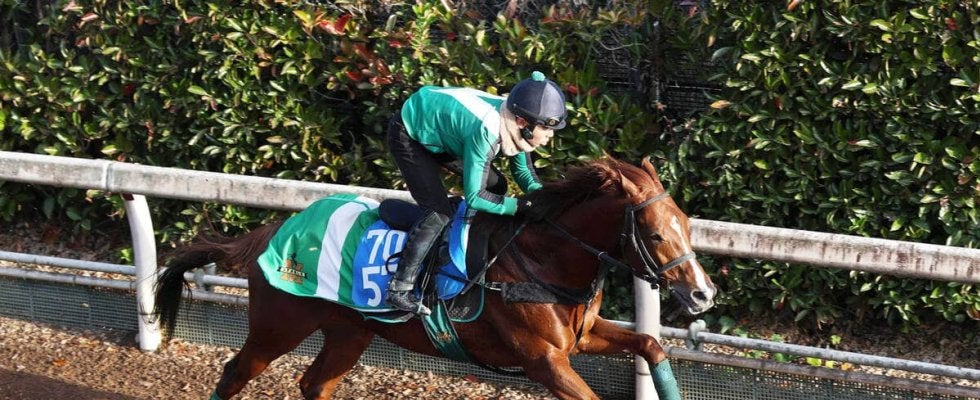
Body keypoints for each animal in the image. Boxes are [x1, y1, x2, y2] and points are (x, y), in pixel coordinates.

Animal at [153, 156, 717, 400]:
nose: (703, 293)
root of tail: (274, 228)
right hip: (279, 324)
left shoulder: (580, 337)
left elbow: (651, 344)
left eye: (688, 226)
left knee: (315, 383)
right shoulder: (543, 361)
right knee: (235, 373)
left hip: (350, 331)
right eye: (657, 234)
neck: (542, 261)